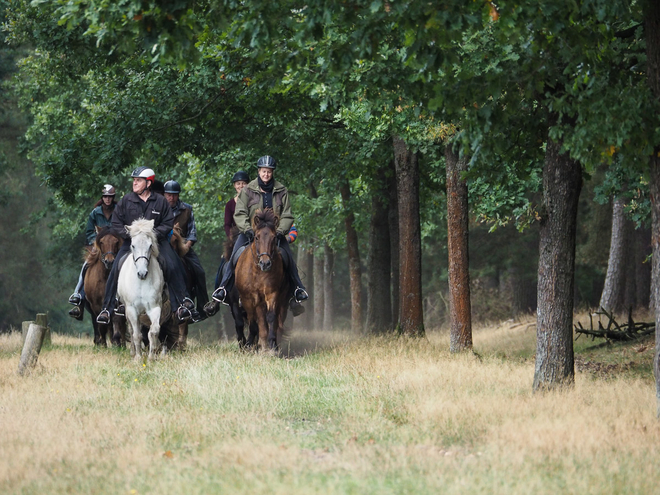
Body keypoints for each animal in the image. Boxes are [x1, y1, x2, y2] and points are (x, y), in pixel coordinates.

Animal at [116, 219, 164, 362]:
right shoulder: (132, 309)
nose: (142, 273)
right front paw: (138, 358)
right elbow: (136, 334)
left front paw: (151, 357)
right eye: (133, 245)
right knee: (132, 330)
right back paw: (133, 352)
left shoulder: (154, 307)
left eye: (150, 245)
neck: (141, 282)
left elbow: (153, 331)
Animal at [236, 209, 290, 352]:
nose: (265, 263)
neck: (257, 272)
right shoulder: (247, 298)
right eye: (256, 237)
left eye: (274, 237)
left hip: (282, 300)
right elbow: (253, 320)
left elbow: (271, 317)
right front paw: (250, 344)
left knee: (278, 321)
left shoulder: (272, 293)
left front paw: (273, 345)